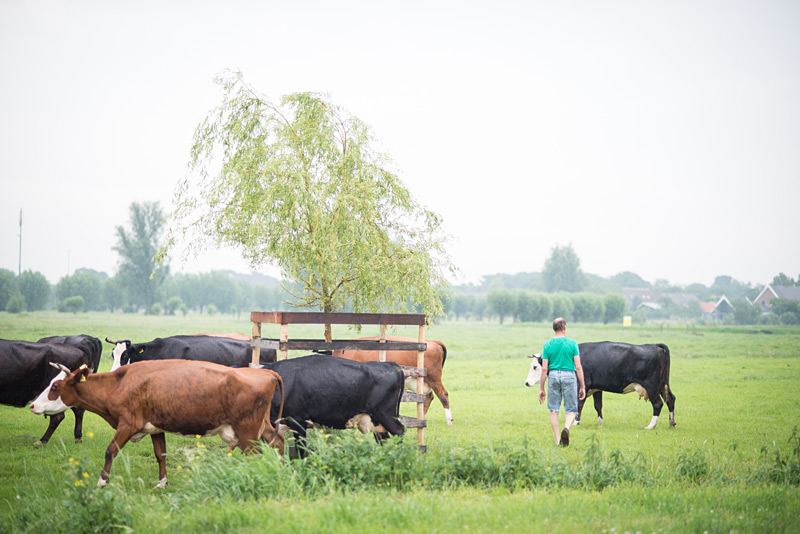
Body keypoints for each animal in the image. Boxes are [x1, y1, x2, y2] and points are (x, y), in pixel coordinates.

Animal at [32, 360, 288, 490]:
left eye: (55, 386)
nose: (33, 405)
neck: (120, 383)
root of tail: (265, 372)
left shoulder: (127, 424)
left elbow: (110, 451)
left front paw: (102, 481)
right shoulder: (155, 427)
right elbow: (160, 454)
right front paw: (162, 482)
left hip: (248, 431)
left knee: (256, 455)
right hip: (261, 427)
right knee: (279, 441)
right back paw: (282, 471)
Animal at [264, 354, 406, 458]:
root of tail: (390, 365)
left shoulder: (298, 420)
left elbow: (301, 448)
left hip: (386, 414)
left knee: (399, 431)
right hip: (377, 419)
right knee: (383, 438)